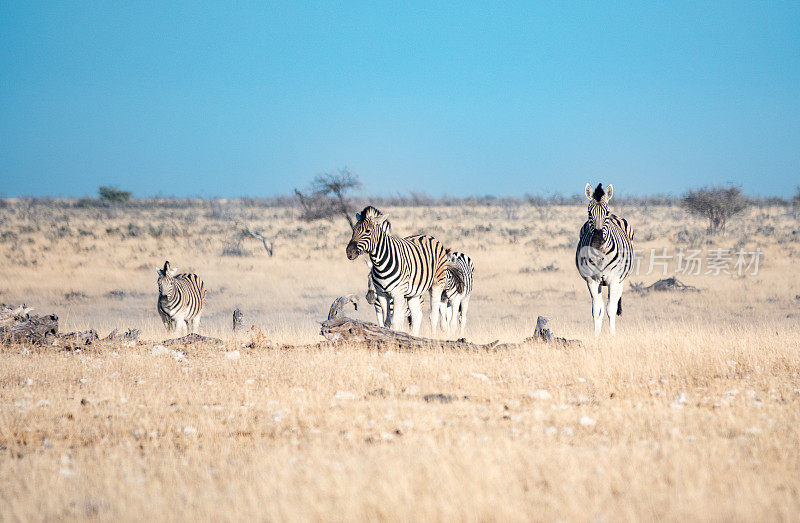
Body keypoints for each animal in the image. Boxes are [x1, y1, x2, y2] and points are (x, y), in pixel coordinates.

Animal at [346, 206, 450, 336]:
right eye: (353, 230)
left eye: (368, 231)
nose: (349, 252)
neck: (380, 264)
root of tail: (427, 235)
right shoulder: (382, 294)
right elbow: (386, 322)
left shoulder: (398, 293)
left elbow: (396, 322)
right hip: (414, 292)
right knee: (416, 315)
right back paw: (414, 336)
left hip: (437, 284)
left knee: (433, 315)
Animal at [576, 184, 636, 338]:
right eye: (589, 212)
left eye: (606, 212)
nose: (597, 241)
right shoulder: (592, 281)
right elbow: (597, 309)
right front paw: (596, 336)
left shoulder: (613, 280)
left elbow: (611, 308)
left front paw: (612, 336)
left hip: (621, 280)